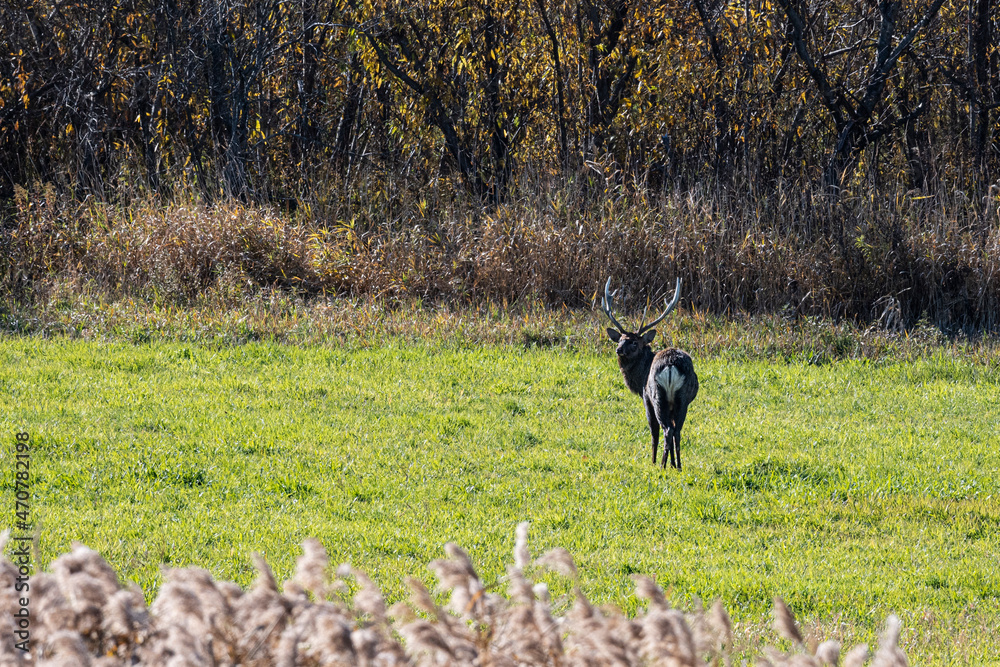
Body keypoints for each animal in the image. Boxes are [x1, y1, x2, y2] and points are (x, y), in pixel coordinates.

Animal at [600, 277, 698, 470]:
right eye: (620, 339)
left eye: (634, 343)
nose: (618, 350)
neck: (640, 378)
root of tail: (670, 365)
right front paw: (673, 463)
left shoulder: (646, 398)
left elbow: (653, 432)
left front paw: (652, 461)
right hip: (682, 398)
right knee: (677, 430)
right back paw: (678, 465)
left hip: (657, 395)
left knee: (666, 429)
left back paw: (661, 465)